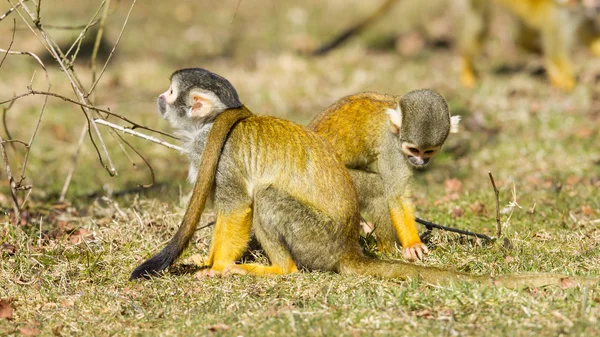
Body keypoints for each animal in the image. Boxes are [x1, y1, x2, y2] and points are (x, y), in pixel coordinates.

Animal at [310, 90, 460, 260]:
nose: (420, 161)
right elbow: (396, 195)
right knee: (379, 191)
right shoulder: (391, 145)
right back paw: (389, 250)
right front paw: (412, 244)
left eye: (428, 151)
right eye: (414, 150)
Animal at [462, 0, 596, 92]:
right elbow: (556, 54)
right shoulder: (561, 18)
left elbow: (589, 34)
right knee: (479, 27)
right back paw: (466, 65)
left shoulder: (581, 14)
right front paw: (569, 84)